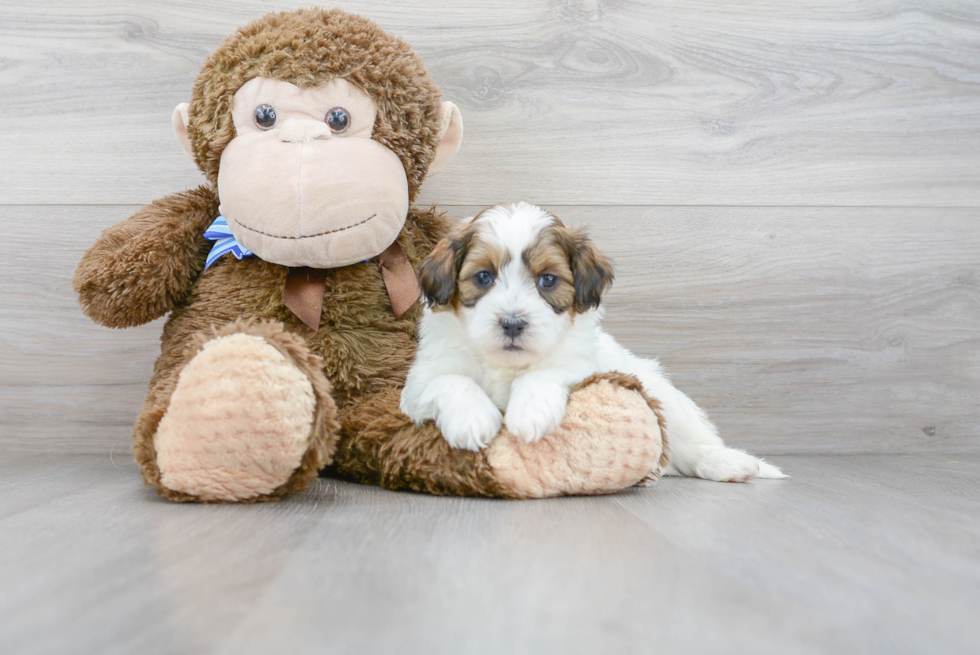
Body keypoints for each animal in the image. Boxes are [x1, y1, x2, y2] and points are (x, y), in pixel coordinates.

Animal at [402, 202, 784, 484]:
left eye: (548, 280)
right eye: (483, 277)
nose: (512, 323)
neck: (507, 364)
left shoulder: (581, 364)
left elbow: (546, 372)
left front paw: (529, 413)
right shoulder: (419, 382)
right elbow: (451, 380)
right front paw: (473, 419)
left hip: (666, 400)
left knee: (688, 444)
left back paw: (730, 463)